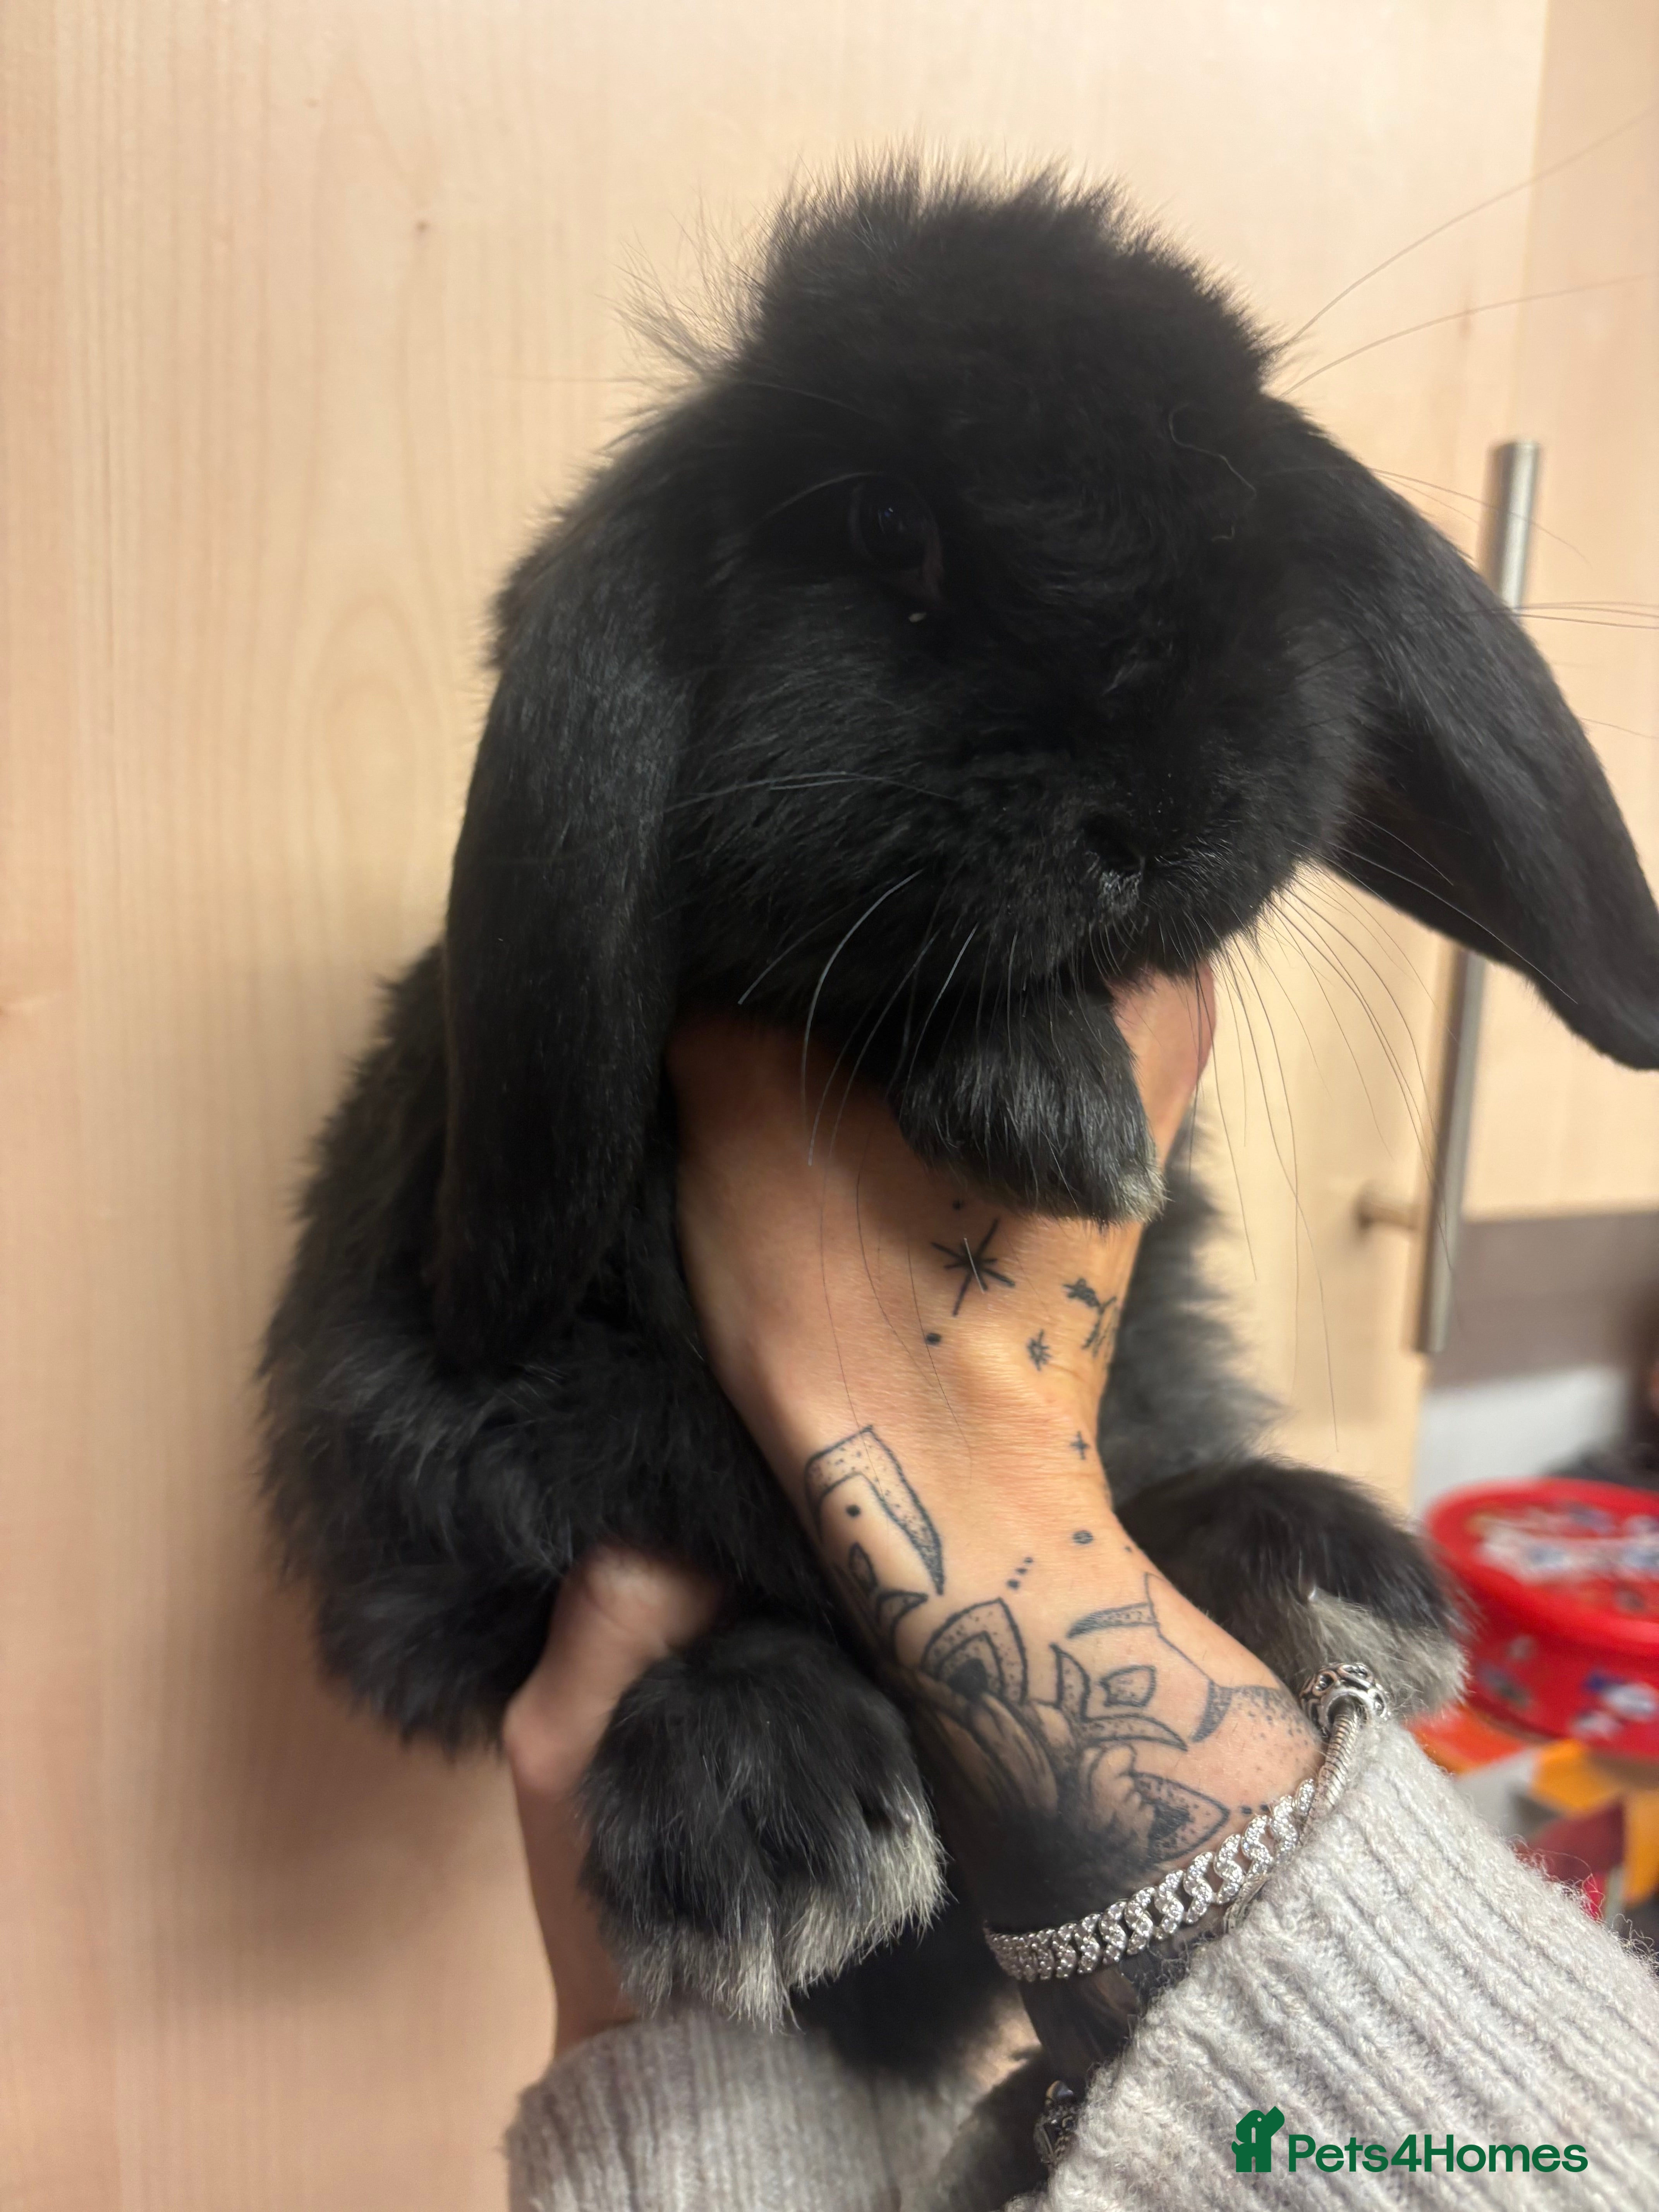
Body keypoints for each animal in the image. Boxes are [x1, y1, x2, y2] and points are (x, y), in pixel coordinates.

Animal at [261, 166, 1659, 2065]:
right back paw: (767, 1818)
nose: (1171, 802)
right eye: (882, 526)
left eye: (1243, 531)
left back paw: (1324, 1560)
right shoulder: (425, 1457)